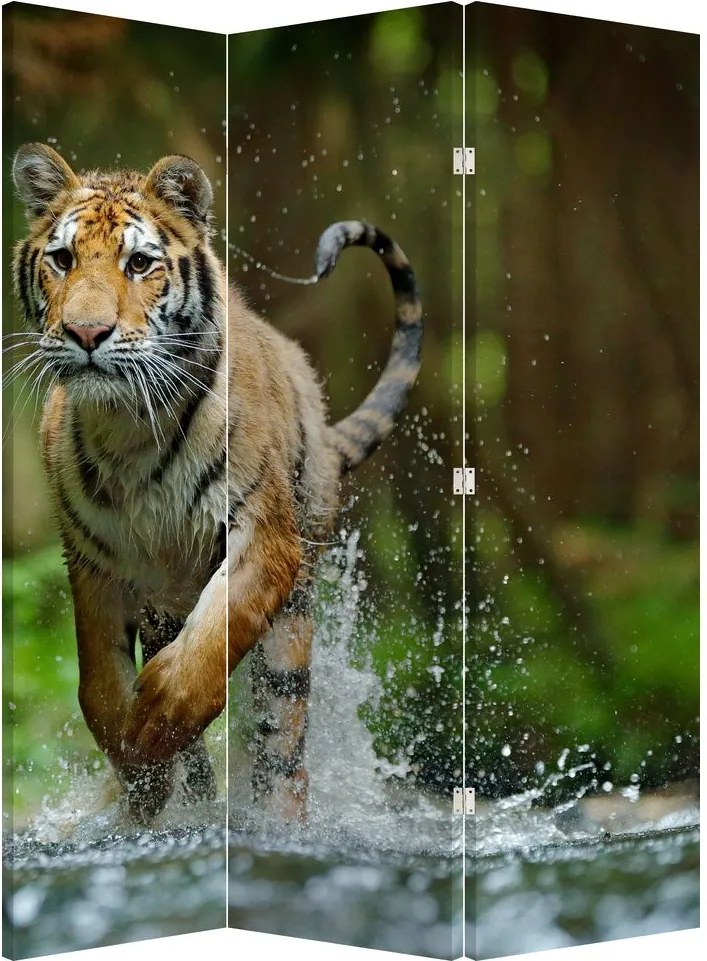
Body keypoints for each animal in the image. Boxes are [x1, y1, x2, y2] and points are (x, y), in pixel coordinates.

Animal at [10, 142, 422, 823]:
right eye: (63, 259)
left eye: (139, 263)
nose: (86, 334)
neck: (128, 427)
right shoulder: (93, 560)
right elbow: (98, 685)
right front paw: (137, 769)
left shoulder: (262, 534)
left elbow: (206, 652)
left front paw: (153, 723)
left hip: (293, 621)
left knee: (283, 747)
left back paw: (276, 820)